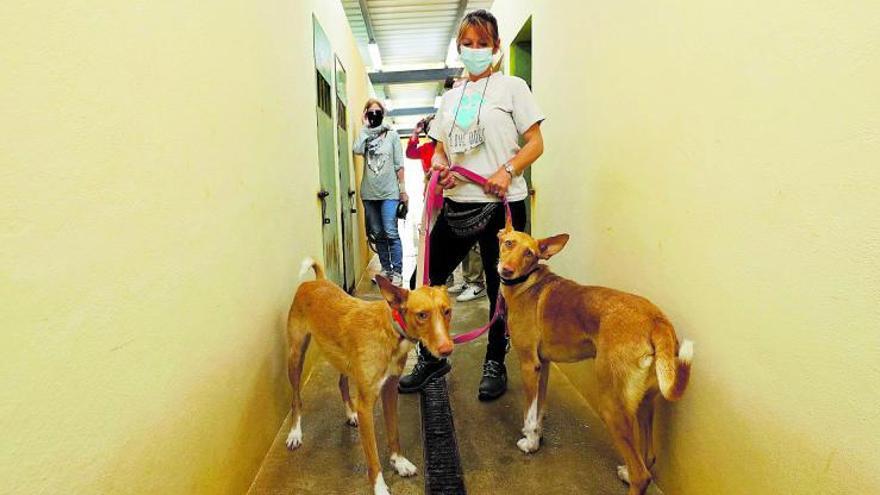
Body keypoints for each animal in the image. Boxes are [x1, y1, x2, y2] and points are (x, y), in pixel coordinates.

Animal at [288, 260, 454, 495]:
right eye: (422, 315)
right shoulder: (366, 405)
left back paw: (350, 414)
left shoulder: (390, 390)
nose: (447, 349)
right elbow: (372, 455)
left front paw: (398, 461)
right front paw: (380, 486)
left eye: (447, 311)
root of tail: (315, 282)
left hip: (344, 360)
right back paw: (295, 433)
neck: (392, 331)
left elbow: (393, 432)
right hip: (295, 356)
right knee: (296, 398)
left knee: (342, 383)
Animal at [498, 226, 692, 495]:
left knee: (642, 475)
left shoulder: (529, 364)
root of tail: (656, 320)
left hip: (612, 405)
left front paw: (529, 443)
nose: (506, 270)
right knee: (649, 457)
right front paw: (536, 437)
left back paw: (632, 476)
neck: (528, 283)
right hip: (644, 402)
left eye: (529, 253)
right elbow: (538, 409)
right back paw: (626, 472)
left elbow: (529, 412)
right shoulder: (543, 365)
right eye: (508, 243)